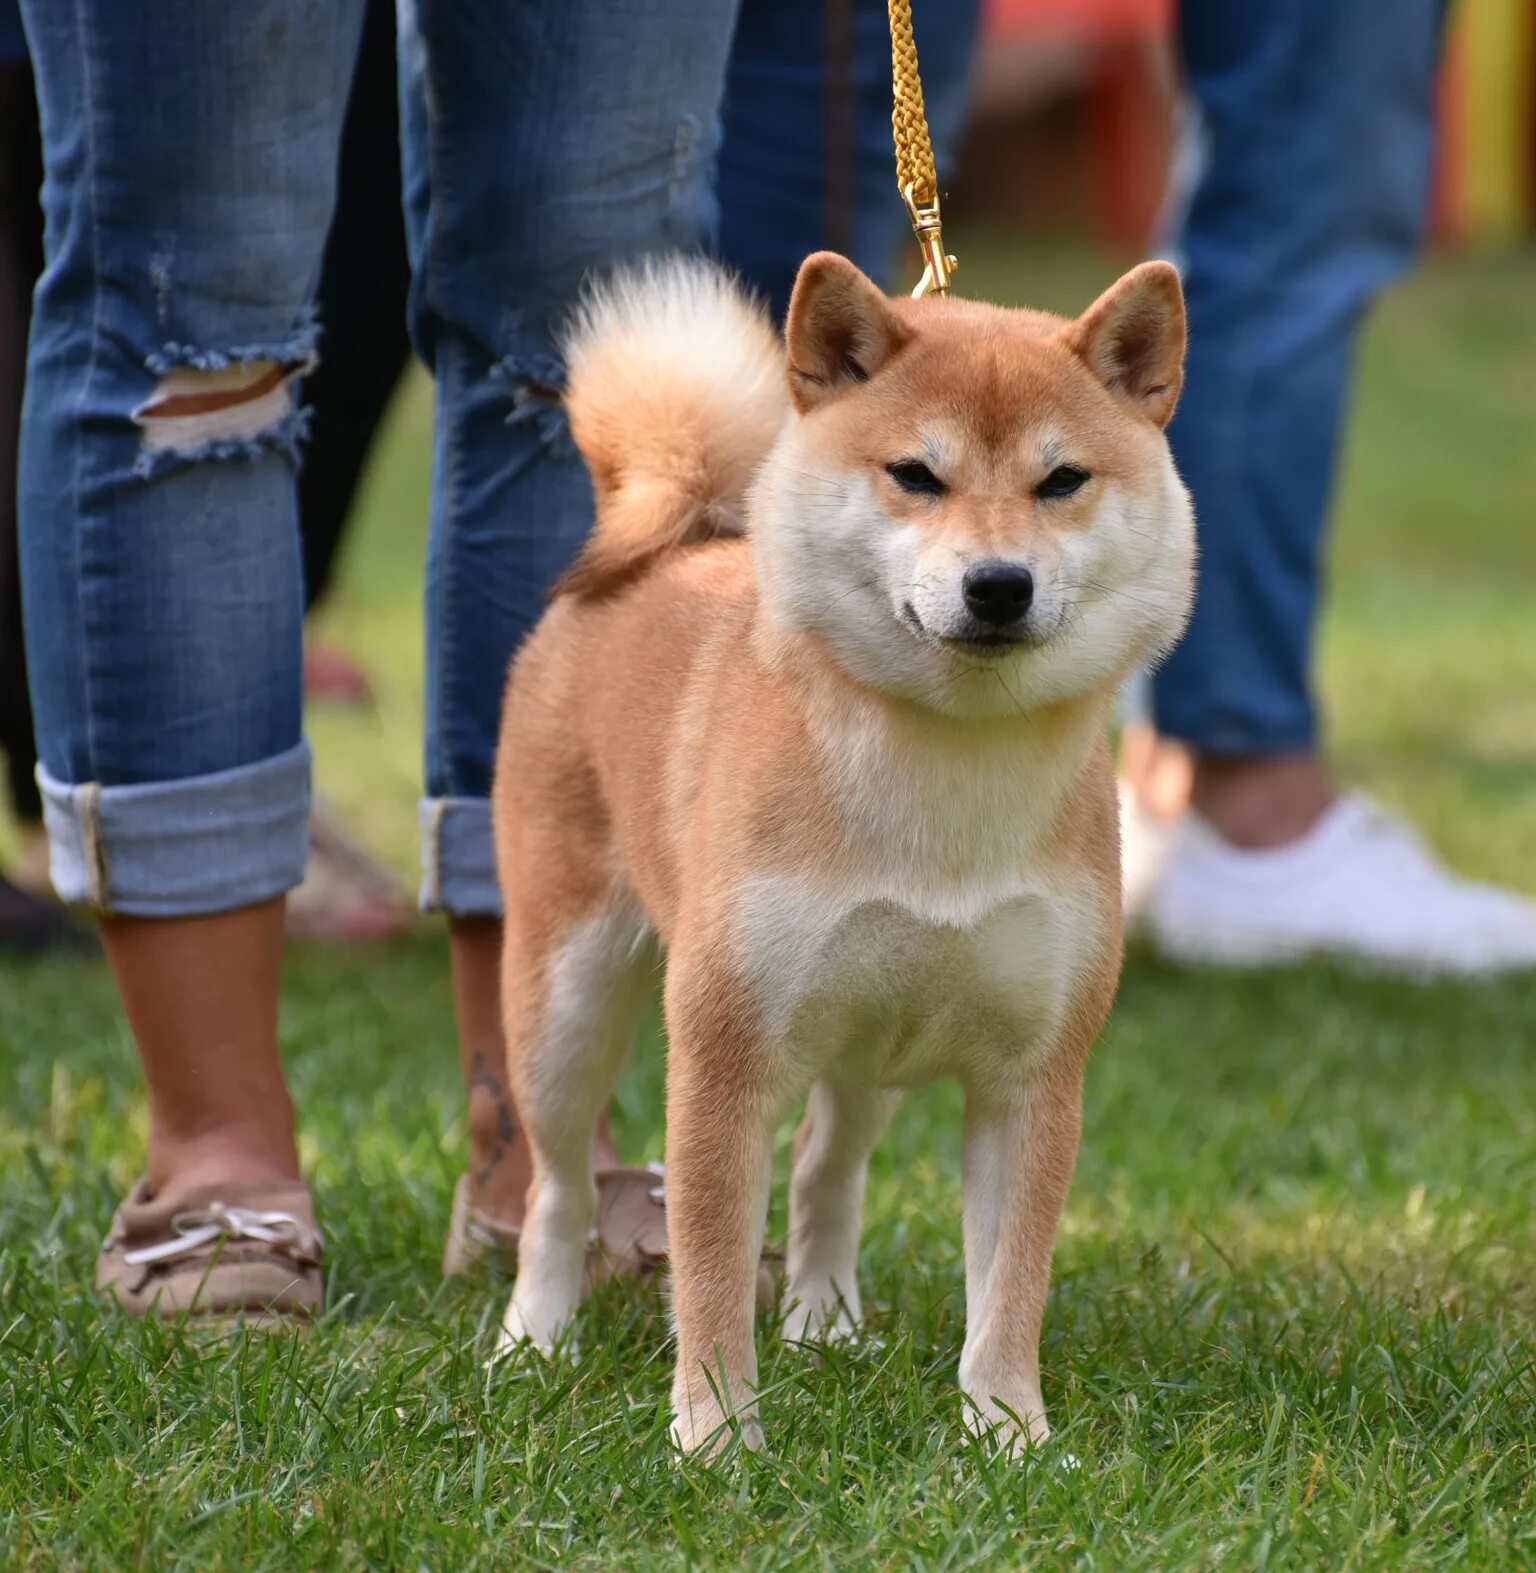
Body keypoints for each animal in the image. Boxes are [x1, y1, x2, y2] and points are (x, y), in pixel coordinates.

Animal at [497, 251, 1196, 1453]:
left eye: (1063, 481)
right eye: (916, 474)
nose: (999, 583)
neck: (948, 773)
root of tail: (672, 541)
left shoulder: (1034, 1076)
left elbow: (1011, 1283)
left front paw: (1009, 1431)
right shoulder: (723, 1058)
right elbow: (711, 1275)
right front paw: (716, 1435)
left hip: (872, 1037)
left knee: (828, 1168)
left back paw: (824, 1324)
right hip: (565, 1003)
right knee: (559, 1188)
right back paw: (533, 1340)